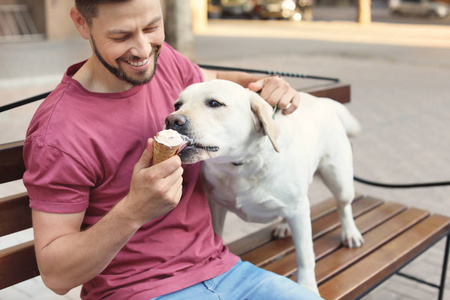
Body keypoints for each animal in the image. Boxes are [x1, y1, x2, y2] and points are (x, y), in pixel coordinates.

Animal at [167, 78, 364, 294]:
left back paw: (350, 233)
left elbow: (305, 254)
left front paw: (307, 285)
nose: (171, 120)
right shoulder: (215, 206)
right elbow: (215, 235)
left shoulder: (300, 211)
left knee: (343, 206)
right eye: (177, 105)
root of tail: (324, 101)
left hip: (338, 179)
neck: (240, 165)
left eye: (214, 103)